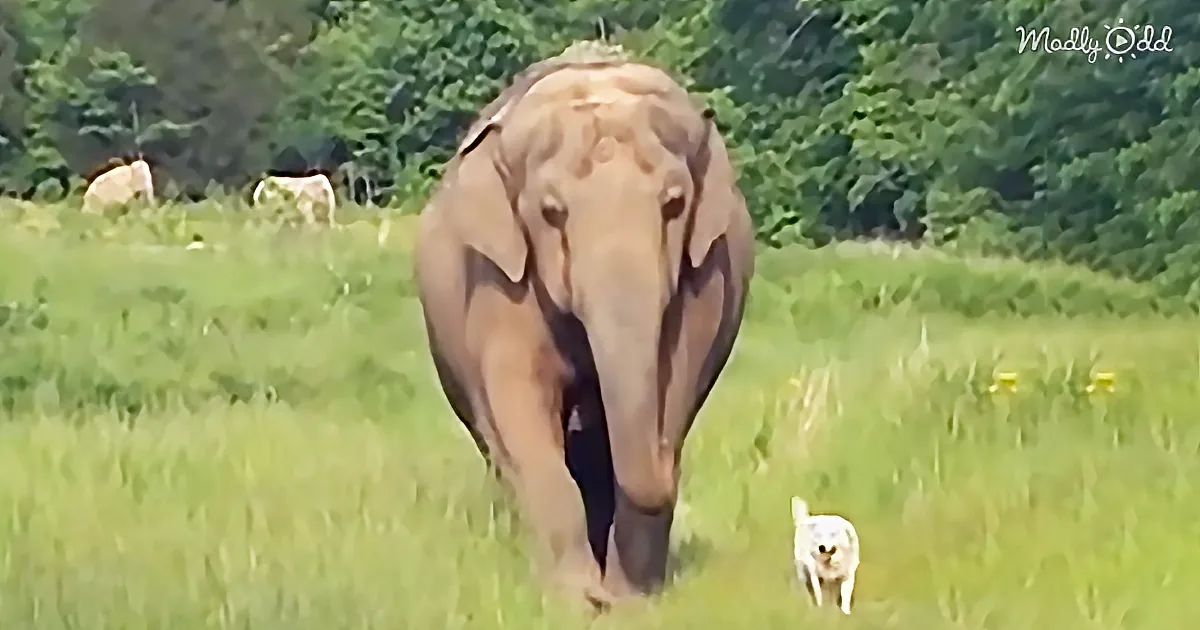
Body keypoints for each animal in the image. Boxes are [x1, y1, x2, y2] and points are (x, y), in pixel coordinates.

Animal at [413, 44, 754, 608]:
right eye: (552, 211)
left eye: (674, 203)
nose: (671, 469)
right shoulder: (498, 278)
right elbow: (522, 401)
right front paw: (575, 599)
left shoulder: (706, 273)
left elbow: (673, 383)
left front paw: (631, 601)